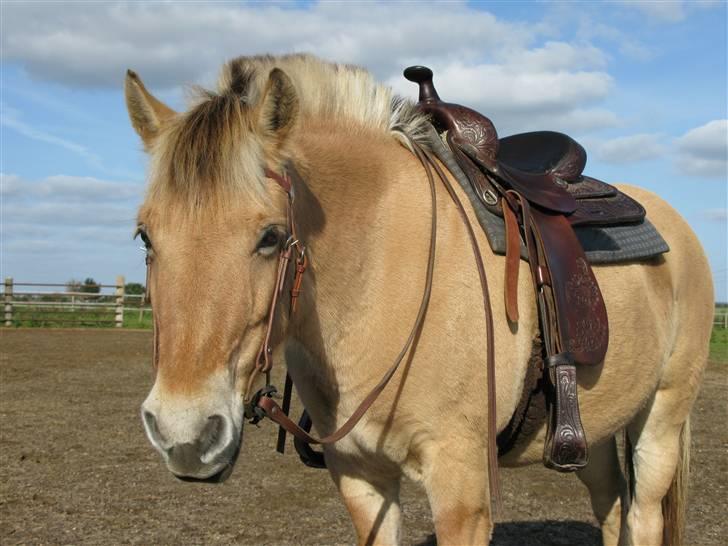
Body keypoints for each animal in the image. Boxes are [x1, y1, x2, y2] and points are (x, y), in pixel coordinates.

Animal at [125, 53, 713, 546]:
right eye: (145, 237)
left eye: (271, 236)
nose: (184, 434)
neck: (377, 275)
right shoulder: (361, 481)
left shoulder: (462, 489)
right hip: (593, 429)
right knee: (612, 507)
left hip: (661, 418)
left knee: (643, 516)